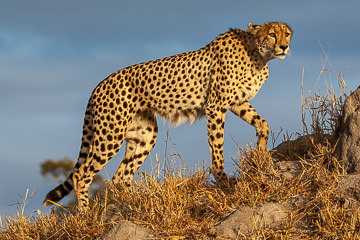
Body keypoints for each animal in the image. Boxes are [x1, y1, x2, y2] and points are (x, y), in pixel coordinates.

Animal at [45, 22, 292, 210]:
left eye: (287, 33)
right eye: (272, 34)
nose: (284, 46)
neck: (257, 54)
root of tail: (99, 84)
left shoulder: (237, 102)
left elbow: (262, 123)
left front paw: (260, 154)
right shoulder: (216, 106)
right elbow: (217, 145)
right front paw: (223, 180)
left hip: (145, 134)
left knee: (121, 176)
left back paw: (135, 203)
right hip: (110, 135)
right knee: (81, 174)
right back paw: (85, 213)